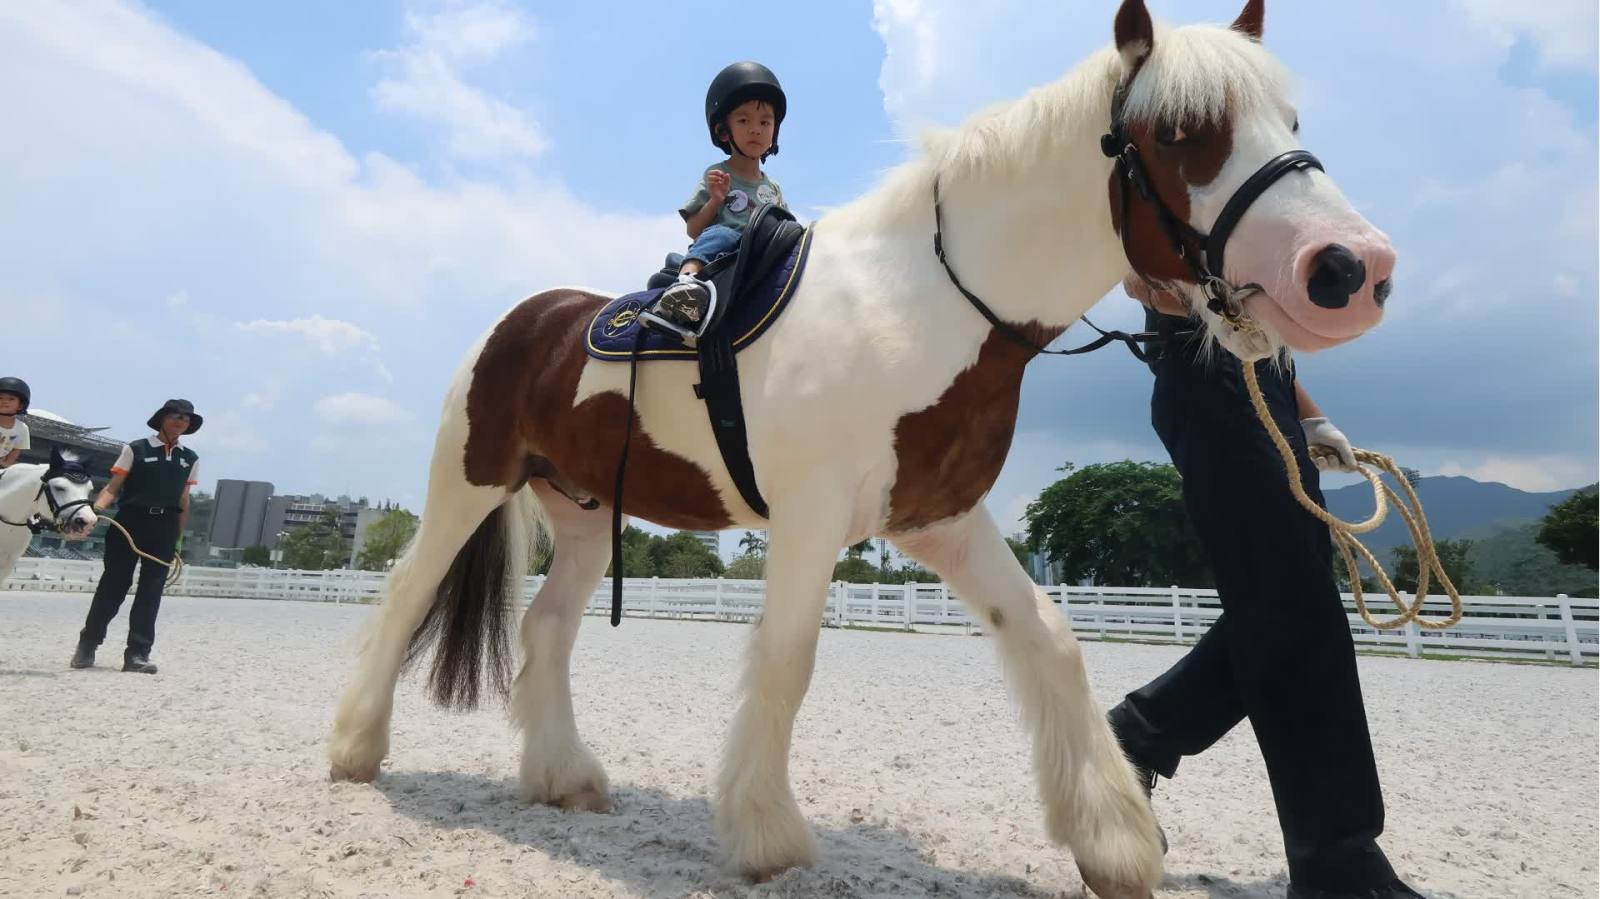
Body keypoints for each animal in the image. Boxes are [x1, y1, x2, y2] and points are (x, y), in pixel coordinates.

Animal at [328, 2, 1395, 895]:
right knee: (409, 591)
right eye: (1181, 134)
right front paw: (766, 833)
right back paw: (354, 748)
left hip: (587, 513)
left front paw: (1114, 838)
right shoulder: (809, 522)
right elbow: (787, 657)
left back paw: (565, 778)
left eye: (1290, 120)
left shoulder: (941, 523)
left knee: (546, 627)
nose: (1353, 268)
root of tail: (526, 318)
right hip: (467, 484)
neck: (925, 303)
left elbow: (1048, 638)